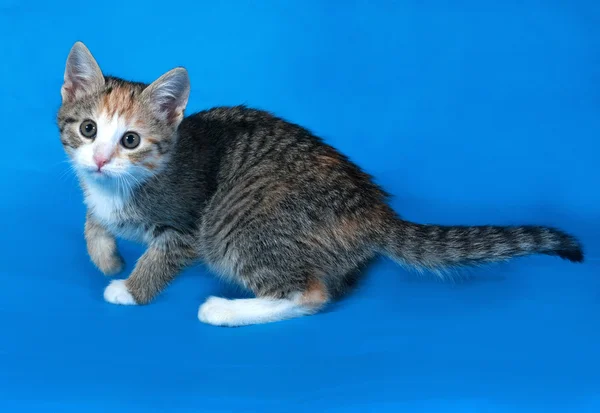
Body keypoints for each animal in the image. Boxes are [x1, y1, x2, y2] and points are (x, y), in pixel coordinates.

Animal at [56, 41, 580, 326]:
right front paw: (106, 255)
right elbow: (92, 221)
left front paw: (129, 288)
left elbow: (162, 255)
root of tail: (376, 209)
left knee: (309, 294)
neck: (122, 185)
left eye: (130, 140)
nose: (100, 160)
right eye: (88, 130)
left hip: (238, 225)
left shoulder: (187, 222)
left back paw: (223, 310)